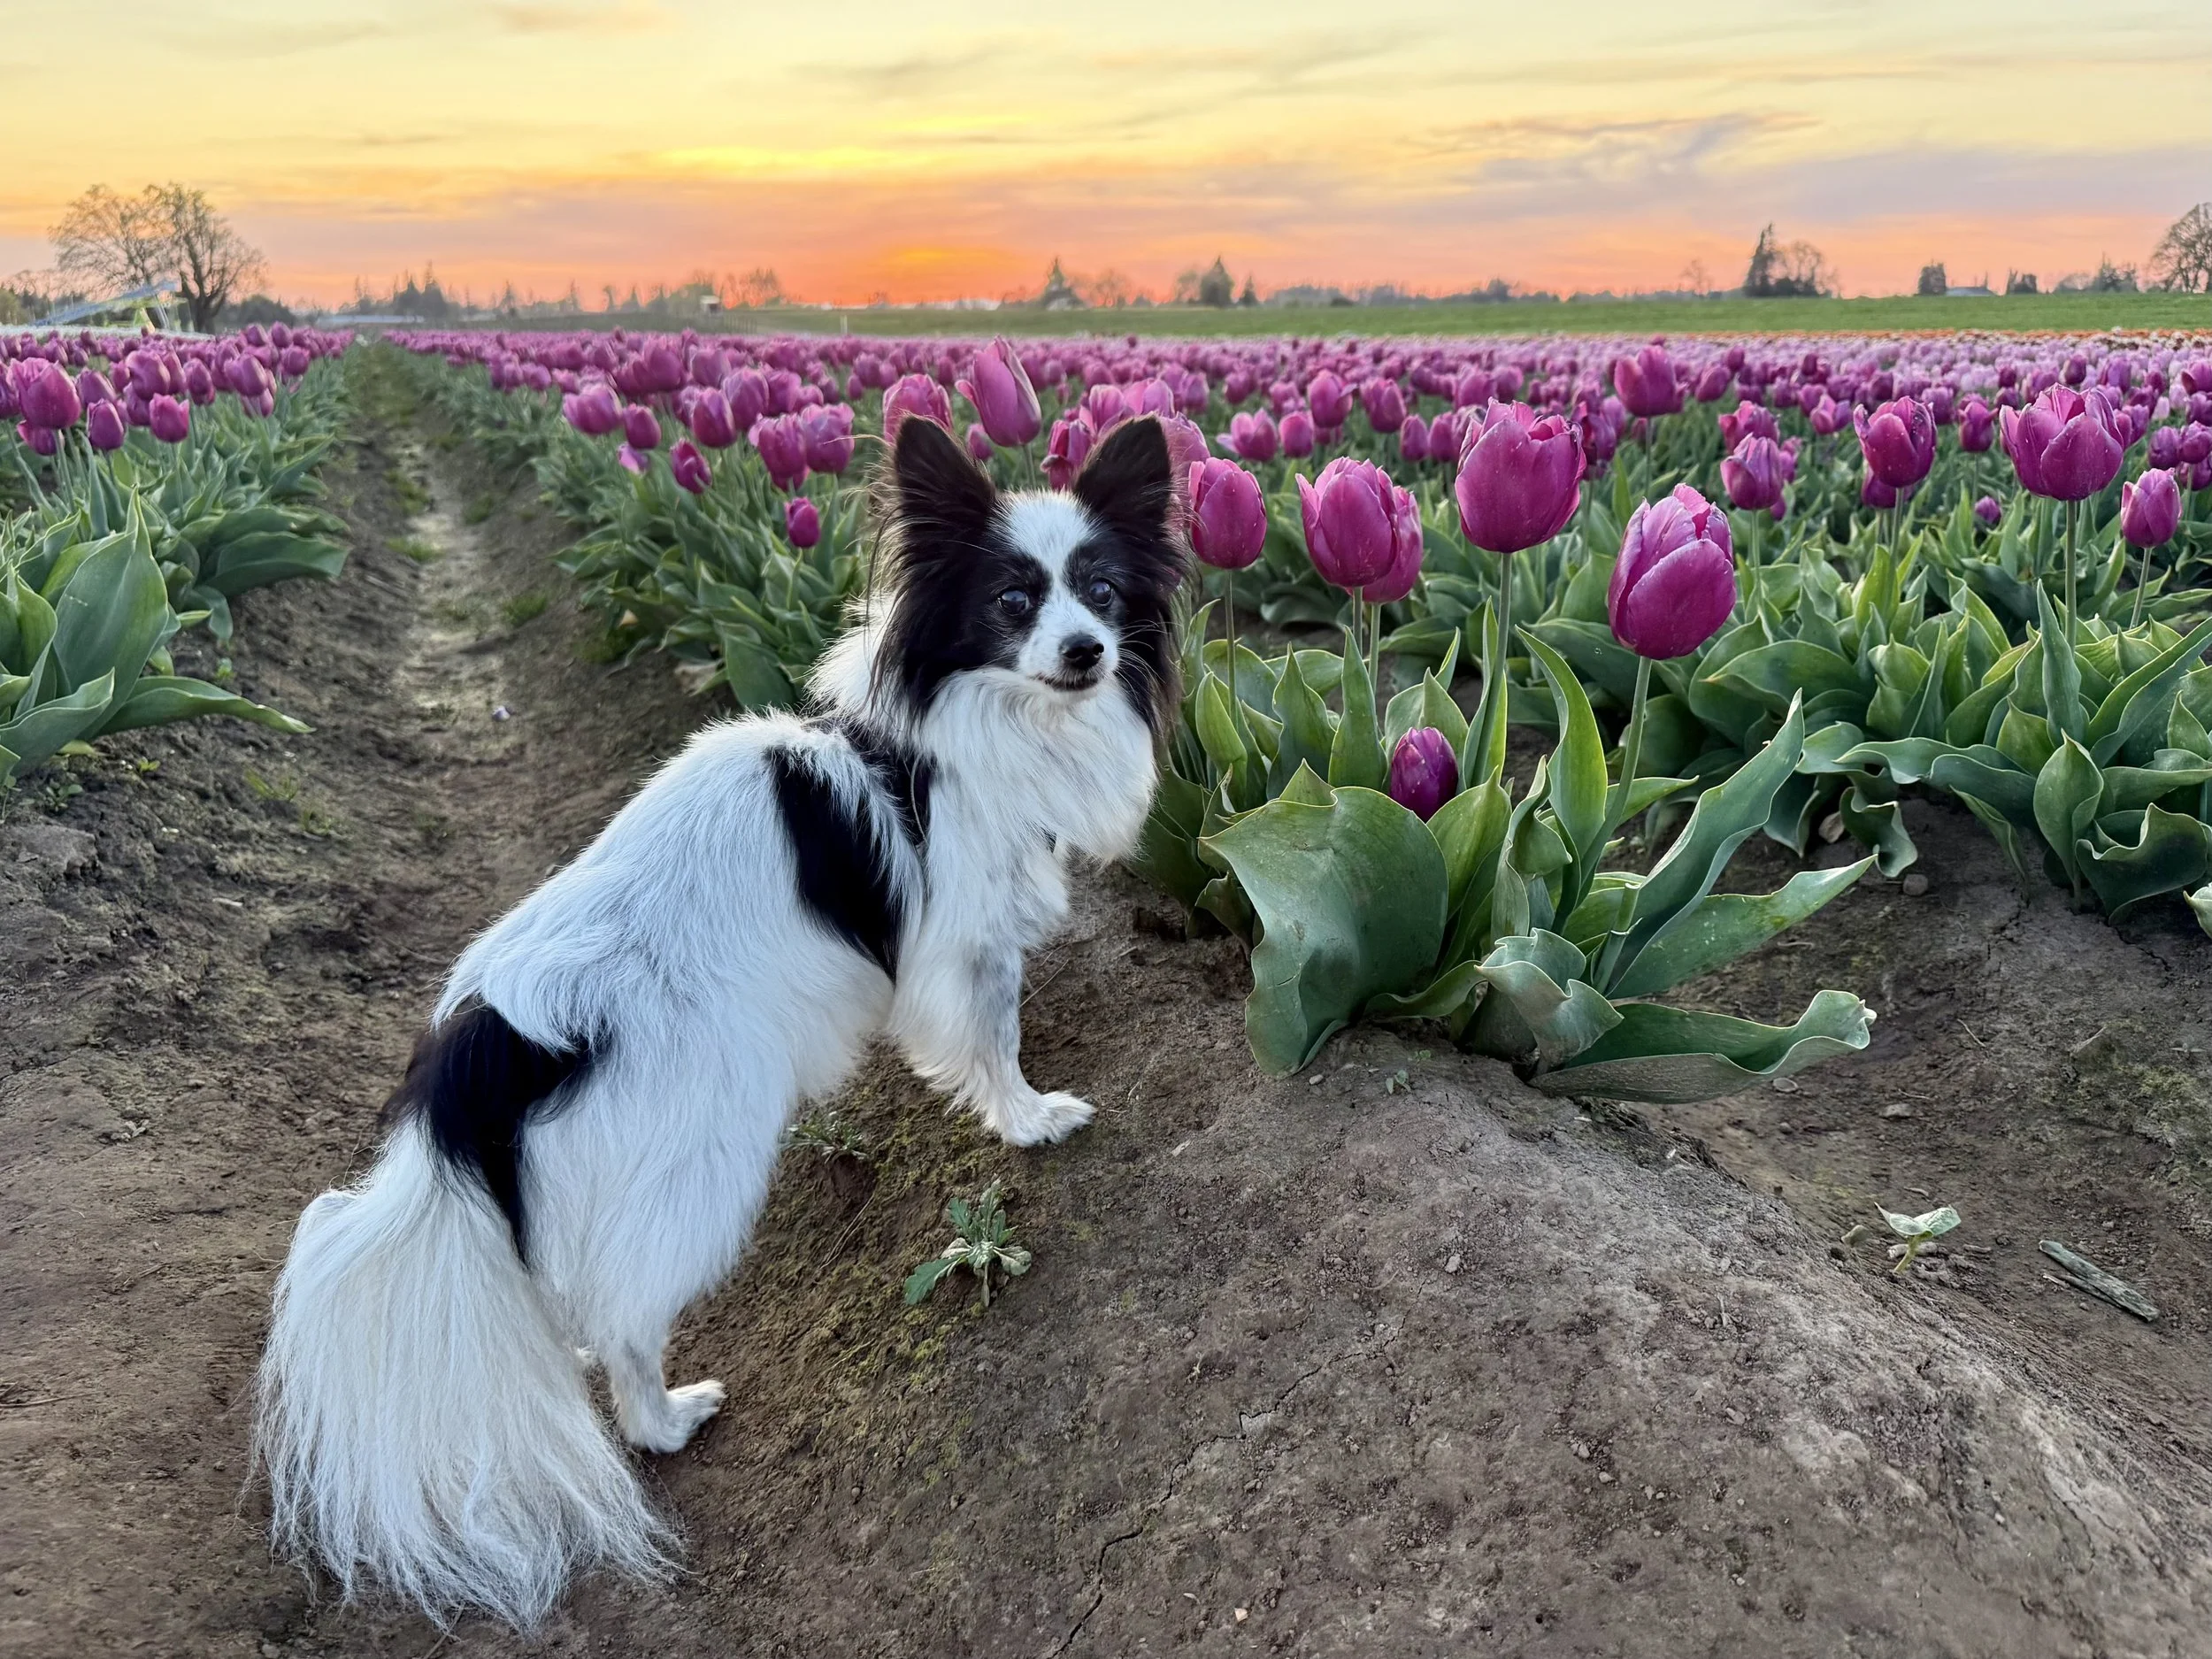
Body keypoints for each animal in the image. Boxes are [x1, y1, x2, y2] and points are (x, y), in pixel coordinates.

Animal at [253, 413, 1186, 1626]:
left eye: (1105, 593)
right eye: (1013, 602)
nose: (1086, 652)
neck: (961, 735)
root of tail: (486, 1037)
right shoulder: (968, 946)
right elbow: (995, 1040)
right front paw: (1028, 1121)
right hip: (703, 1154)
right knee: (623, 1317)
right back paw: (662, 1422)